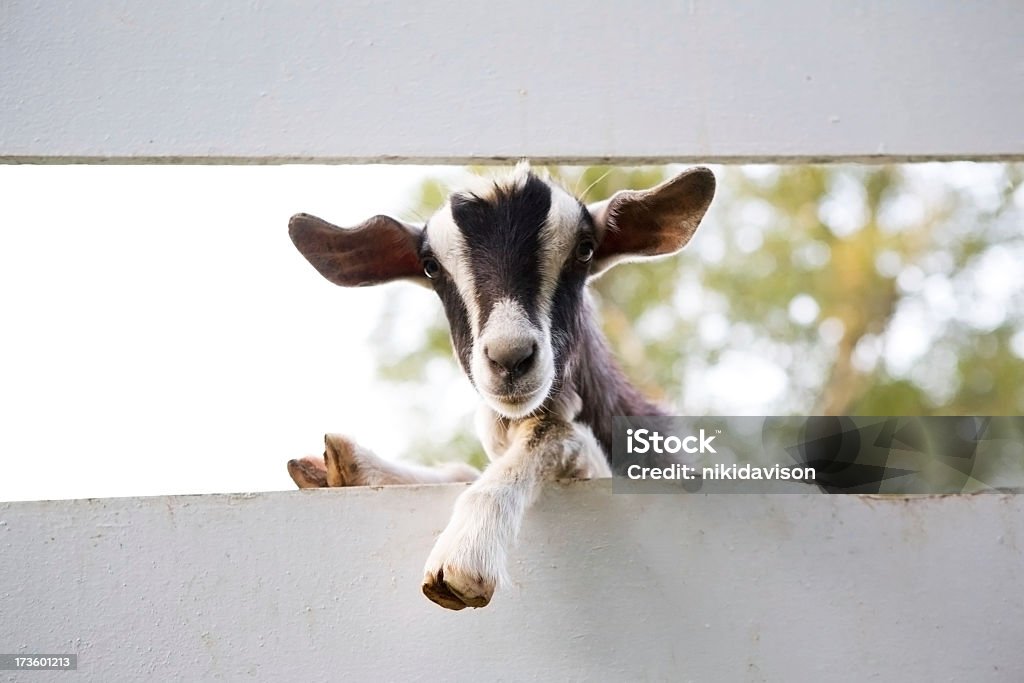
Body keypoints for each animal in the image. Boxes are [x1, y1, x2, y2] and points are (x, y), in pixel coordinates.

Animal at [282, 162, 712, 610]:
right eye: (430, 266)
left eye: (585, 250)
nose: (510, 357)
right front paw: (348, 467)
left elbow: (554, 431)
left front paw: (467, 549)